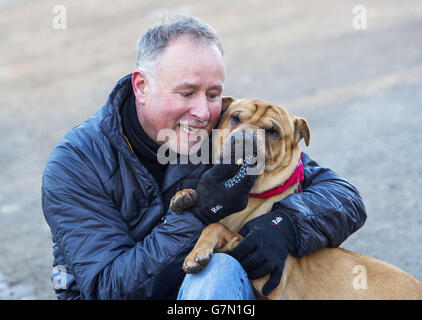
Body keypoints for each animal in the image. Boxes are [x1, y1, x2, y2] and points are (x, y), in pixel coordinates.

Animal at [169, 97, 422, 300]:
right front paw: (185, 196)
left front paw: (198, 252)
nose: (244, 139)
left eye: (272, 132)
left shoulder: (268, 276)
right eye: (235, 118)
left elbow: (216, 228)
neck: (252, 195)